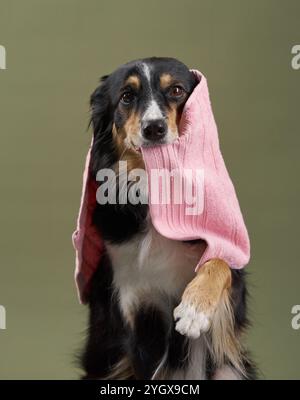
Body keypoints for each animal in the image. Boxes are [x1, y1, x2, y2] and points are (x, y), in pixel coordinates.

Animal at [78, 56, 256, 378]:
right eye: (126, 96)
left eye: (176, 90)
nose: (154, 128)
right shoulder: (136, 311)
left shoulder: (232, 300)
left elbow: (219, 260)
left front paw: (195, 308)